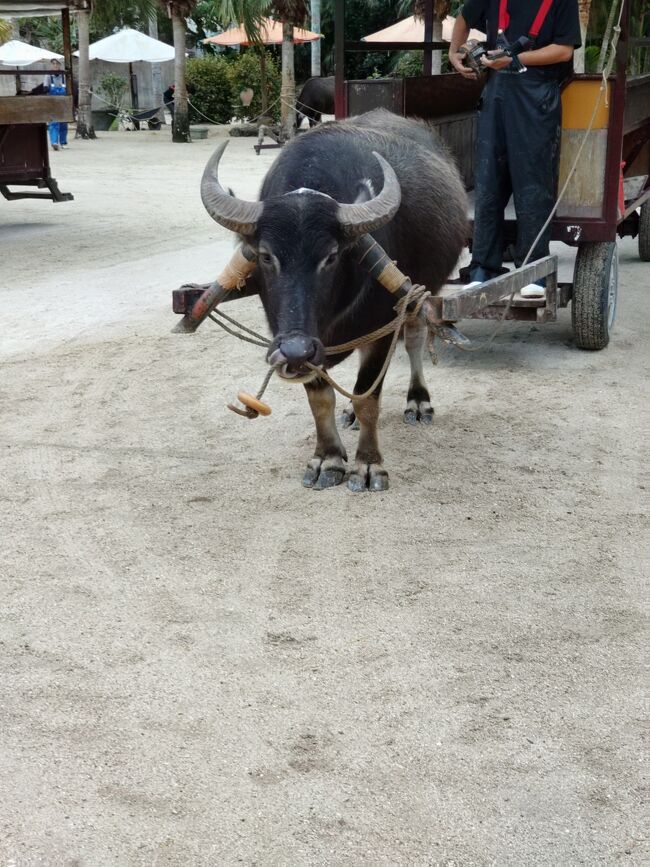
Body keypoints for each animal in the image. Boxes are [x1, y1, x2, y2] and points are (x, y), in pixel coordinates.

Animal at [199, 109, 466, 492]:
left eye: (331, 256)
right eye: (266, 255)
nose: (294, 350)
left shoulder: (383, 325)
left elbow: (369, 396)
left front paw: (367, 465)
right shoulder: (305, 345)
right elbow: (320, 399)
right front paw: (328, 459)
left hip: (420, 292)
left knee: (414, 339)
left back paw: (418, 403)